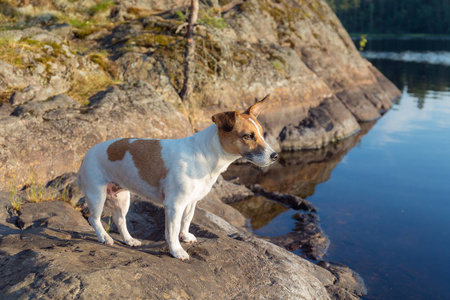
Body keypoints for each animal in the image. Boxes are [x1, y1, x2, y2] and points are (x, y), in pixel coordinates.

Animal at [77, 94, 278, 260]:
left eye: (262, 133)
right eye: (248, 136)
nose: (275, 156)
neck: (205, 152)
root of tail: (86, 155)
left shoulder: (190, 202)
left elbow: (186, 221)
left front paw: (185, 236)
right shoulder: (174, 205)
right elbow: (172, 231)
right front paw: (176, 250)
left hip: (122, 198)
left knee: (120, 220)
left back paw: (129, 240)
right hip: (97, 195)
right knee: (94, 219)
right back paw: (104, 237)